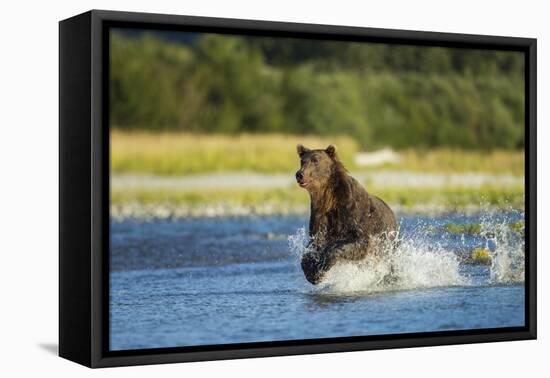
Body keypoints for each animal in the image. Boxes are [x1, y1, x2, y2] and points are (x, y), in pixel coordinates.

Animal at [296, 145, 398, 284]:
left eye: (315, 160)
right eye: (302, 161)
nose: (300, 174)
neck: (329, 197)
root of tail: (391, 211)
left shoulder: (352, 211)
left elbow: (358, 241)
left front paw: (323, 263)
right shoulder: (320, 215)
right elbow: (313, 245)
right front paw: (313, 272)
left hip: (387, 240)